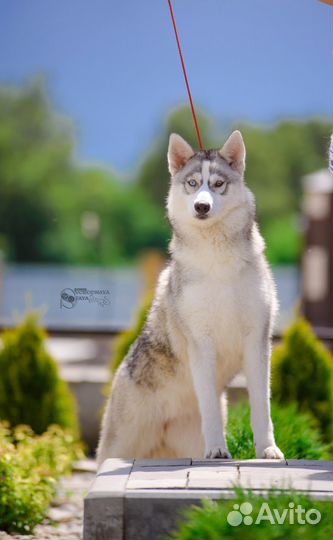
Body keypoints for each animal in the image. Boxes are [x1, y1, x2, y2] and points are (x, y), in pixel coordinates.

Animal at [96, 131, 282, 464]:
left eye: (218, 184)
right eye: (193, 183)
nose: (202, 207)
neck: (218, 260)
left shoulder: (257, 342)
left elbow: (262, 407)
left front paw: (267, 450)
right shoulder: (201, 342)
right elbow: (208, 406)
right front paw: (217, 450)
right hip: (118, 446)